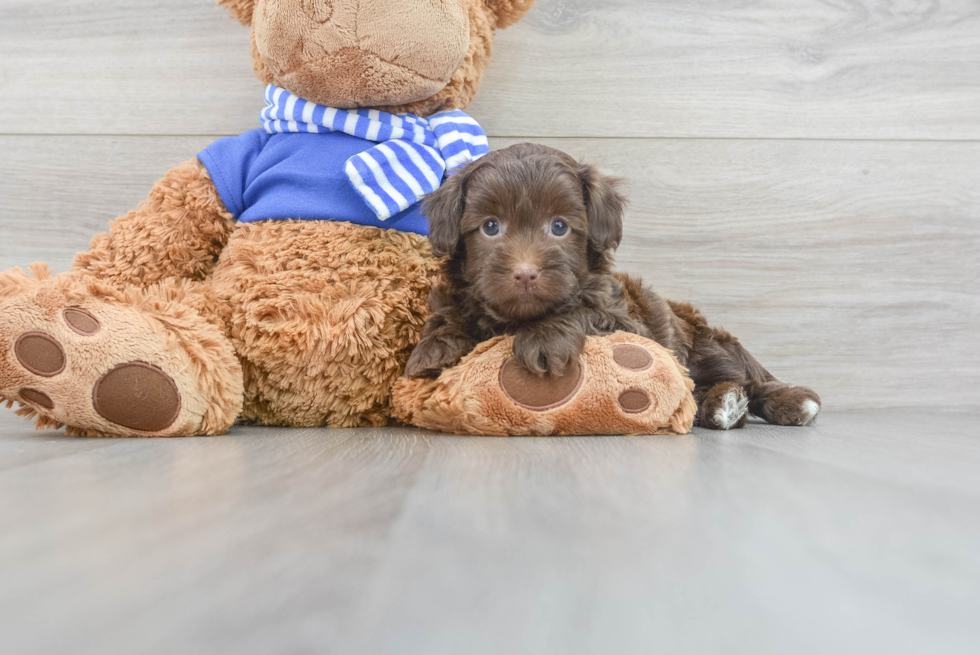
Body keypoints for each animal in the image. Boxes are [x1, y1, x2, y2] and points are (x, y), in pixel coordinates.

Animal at [402, 144, 824, 430]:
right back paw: (723, 405)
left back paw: (785, 402)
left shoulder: (625, 321)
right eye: (490, 227)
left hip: (706, 344)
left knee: (748, 380)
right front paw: (435, 348)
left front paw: (543, 338)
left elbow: (580, 310)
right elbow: (451, 311)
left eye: (559, 227)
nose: (525, 273)